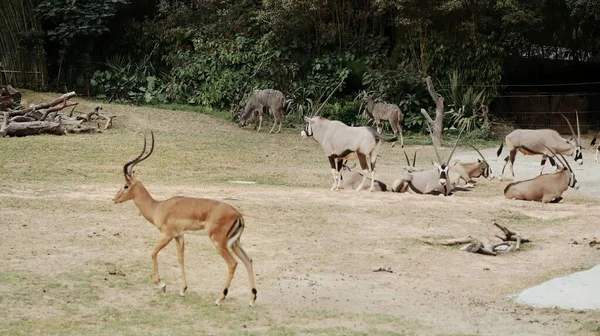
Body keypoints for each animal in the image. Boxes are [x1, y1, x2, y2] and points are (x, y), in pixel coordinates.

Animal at [113, 132, 256, 308]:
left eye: (125, 186)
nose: (114, 199)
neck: (158, 207)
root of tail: (238, 215)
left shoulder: (167, 235)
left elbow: (153, 253)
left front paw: (162, 285)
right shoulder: (179, 236)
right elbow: (181, 259)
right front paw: (182, 290)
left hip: (219, 242)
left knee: (233, 263)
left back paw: (219, 299)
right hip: (234, 243)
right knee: (248, 260)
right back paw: (252, 300)